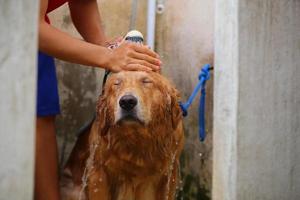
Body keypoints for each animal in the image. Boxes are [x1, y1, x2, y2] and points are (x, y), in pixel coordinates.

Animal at [60, 71, 185, 200]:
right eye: (117, 84)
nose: (127, 102)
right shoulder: (98, 173)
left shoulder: (169, 174)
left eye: (146, 81)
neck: (137, 138)